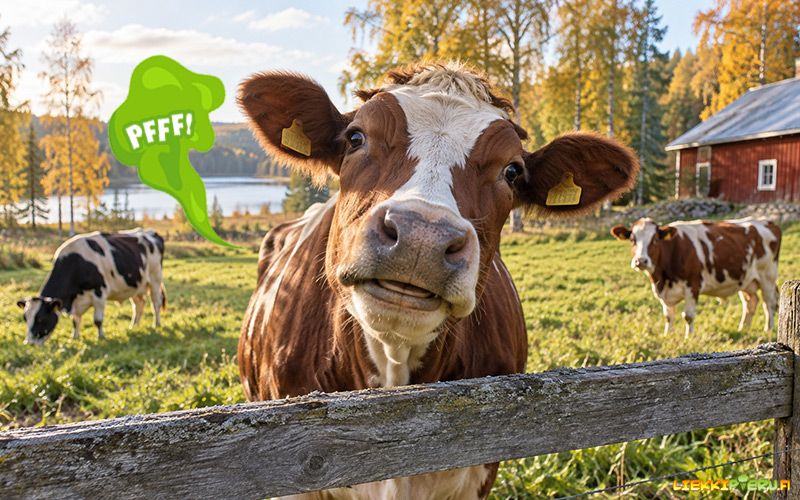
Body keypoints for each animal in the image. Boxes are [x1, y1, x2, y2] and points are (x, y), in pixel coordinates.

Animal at [17, 228, 166, 345]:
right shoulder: (76, 299)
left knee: (155, 302)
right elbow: (75, 321)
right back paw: (134, 325)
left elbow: (98, 320)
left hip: (155, 277)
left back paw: (156, 324)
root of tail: (150, 232)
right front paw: (74, 337)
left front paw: (101, 337)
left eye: (40, 319)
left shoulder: (99, 293)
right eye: (25, 318)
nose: (28, 343)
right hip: (135, 284)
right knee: (139, 304)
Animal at [611, 217, 781, 336]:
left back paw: (769, 328)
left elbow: (688, 316)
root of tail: (767, 221)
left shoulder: (693, 285)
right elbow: (668, 316)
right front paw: (668, 335)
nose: (641, 261)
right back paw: (743, 328)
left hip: (768, 275)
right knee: (750, 302)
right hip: (746, 279)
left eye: (655, 239)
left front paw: (689, 337)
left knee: (769, 302)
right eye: (632, 239)